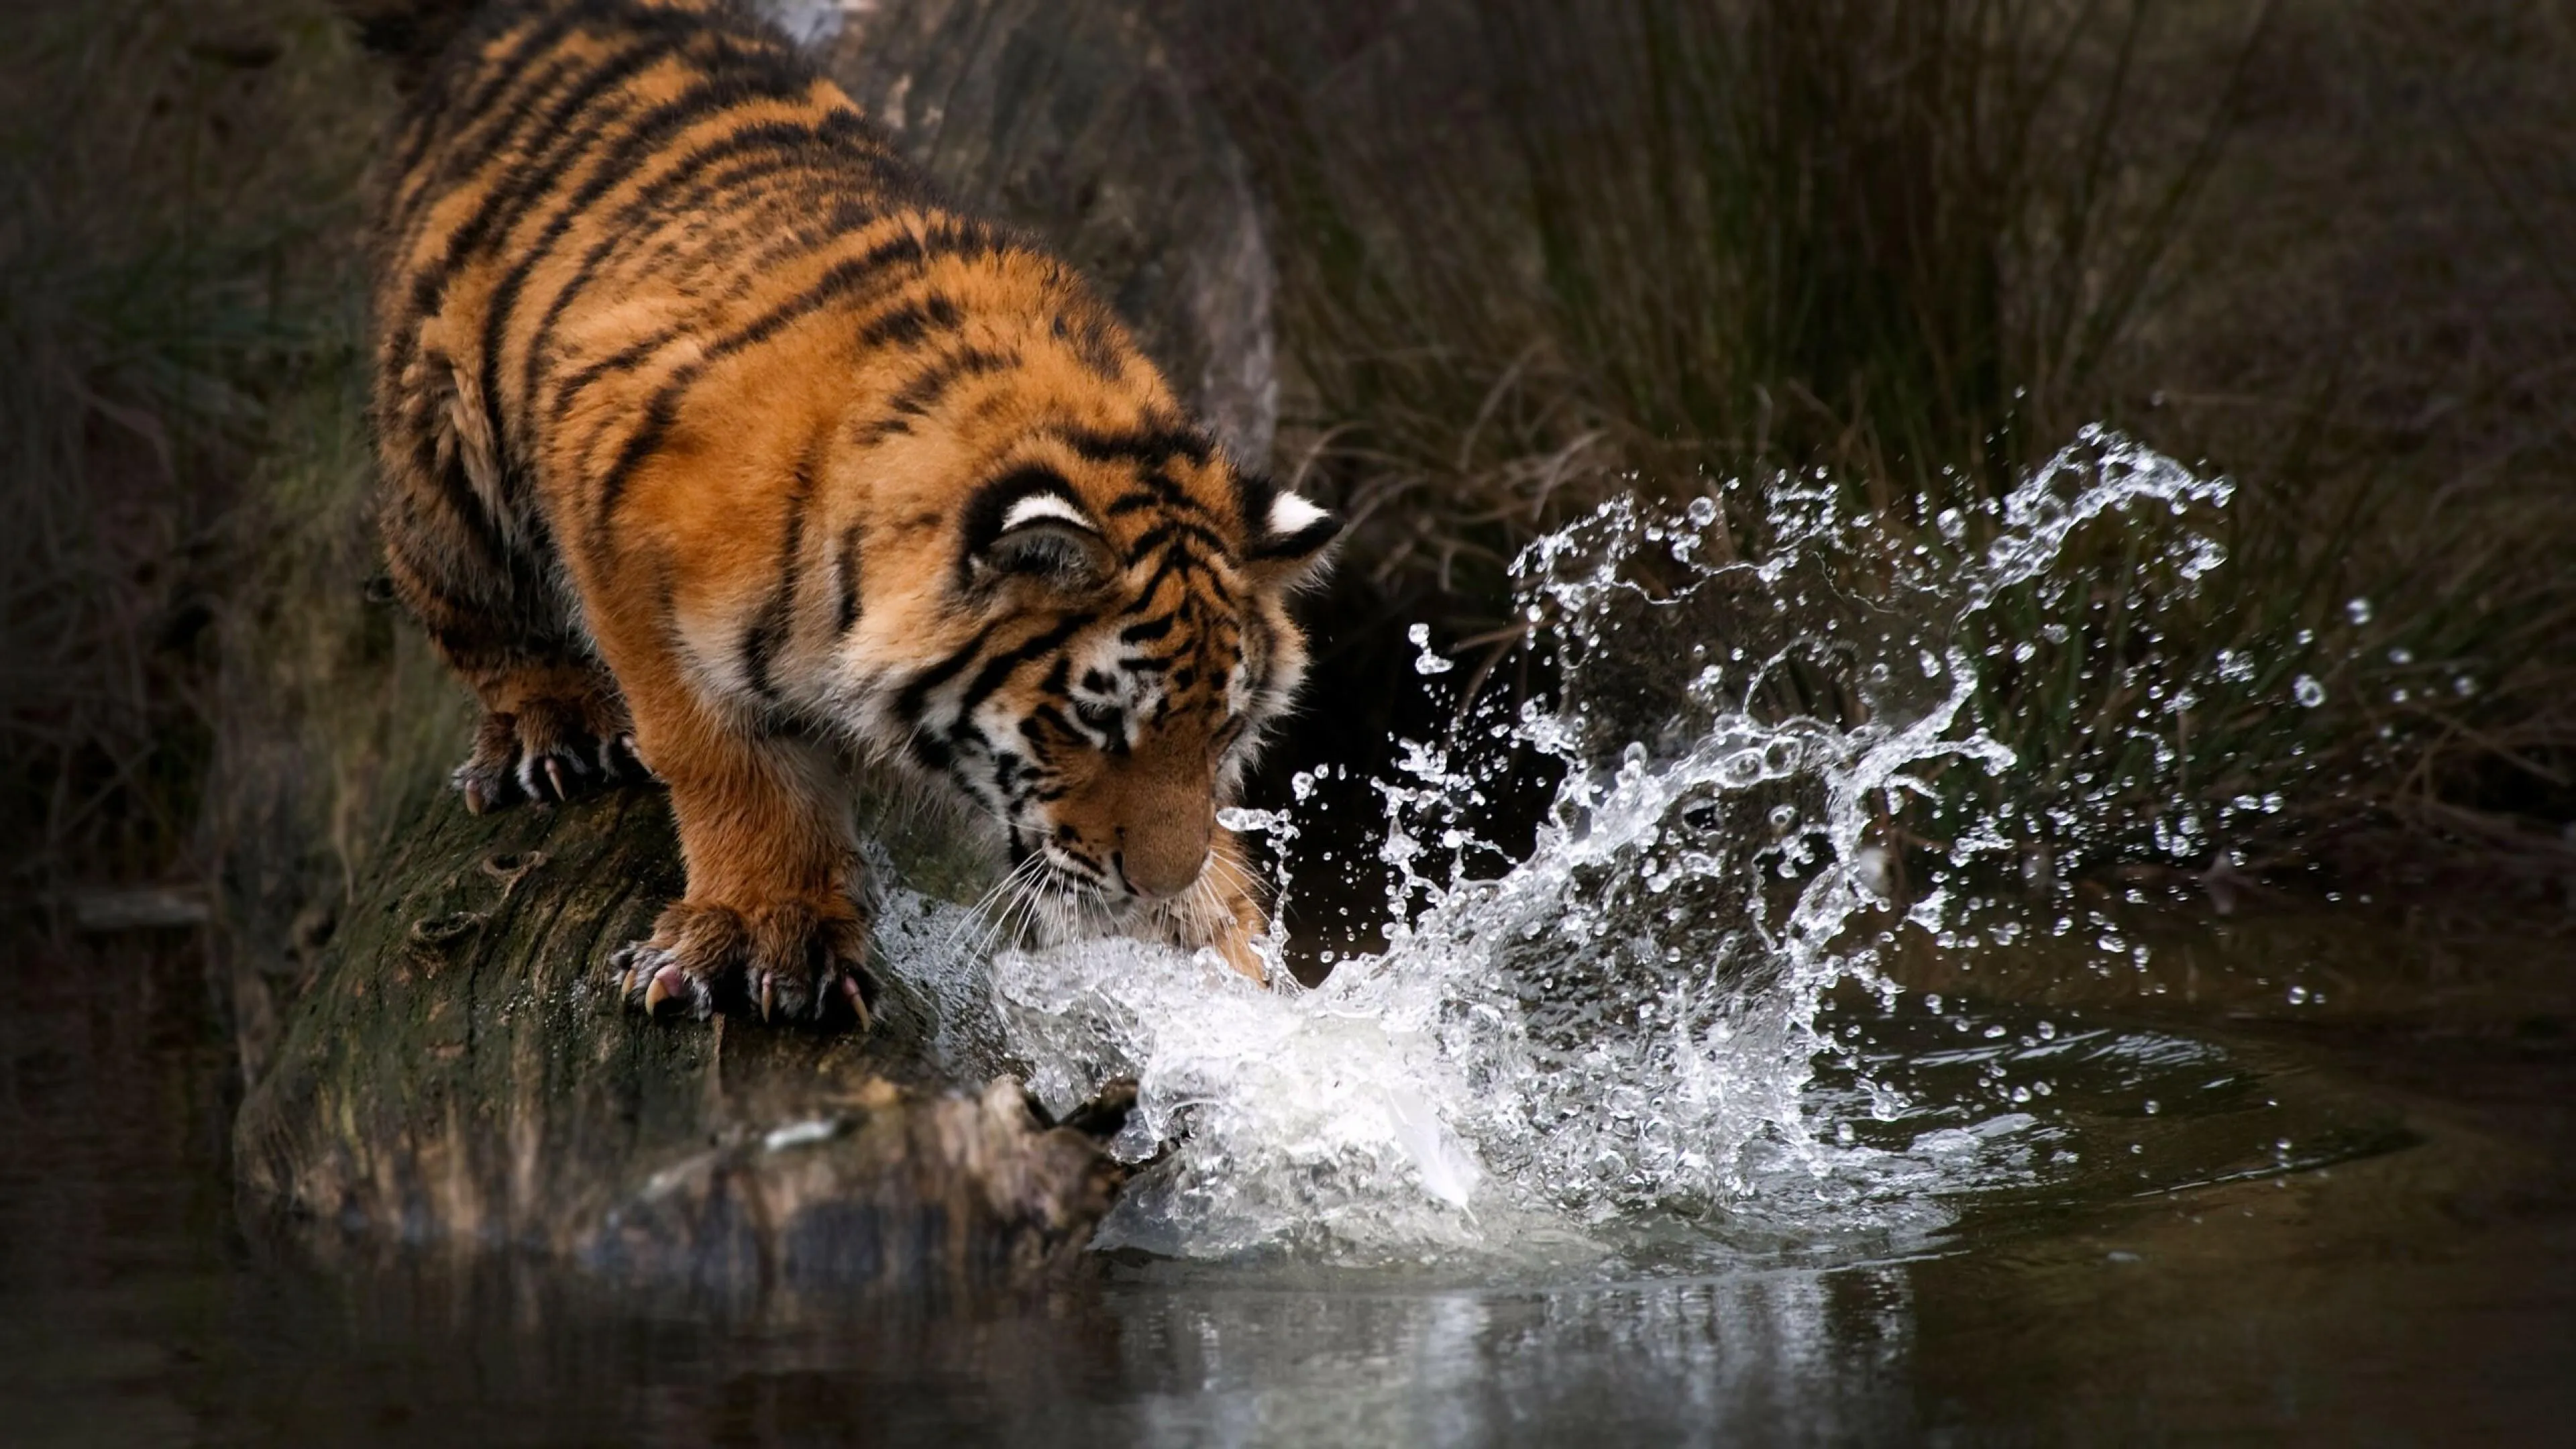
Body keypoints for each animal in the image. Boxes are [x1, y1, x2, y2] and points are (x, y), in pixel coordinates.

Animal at [361, 0, 1339, 1027]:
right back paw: (553, 729)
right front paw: (763, 932)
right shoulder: (627, 541)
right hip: (447, 438)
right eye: (1096, 726)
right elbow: (726, 763)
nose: (1157, 883)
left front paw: (1233, 961)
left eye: (1223, 731)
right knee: (464, 597)